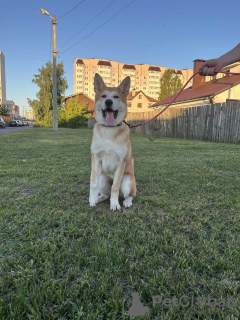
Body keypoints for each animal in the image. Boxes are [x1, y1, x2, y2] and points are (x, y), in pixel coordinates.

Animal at [89, 74, 136, 211]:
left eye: (116, 97)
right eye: (103, 96)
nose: (108, 102)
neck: (109, 129)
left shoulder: (121, 162)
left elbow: (115, 187)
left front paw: (114, 204)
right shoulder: (96, 159)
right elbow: (93, 183)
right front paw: (92, 199)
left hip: (128, 181)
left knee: (129, 194)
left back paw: (126, 202)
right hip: (103, 179)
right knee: (106, 194)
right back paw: (99, 198)